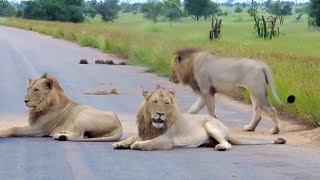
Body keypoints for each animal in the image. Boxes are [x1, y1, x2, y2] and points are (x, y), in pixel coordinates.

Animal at [112, 86, 284, 151]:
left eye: (167, 103)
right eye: (155, 102)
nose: (160, 114)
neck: (152, 124)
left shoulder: (165, 141)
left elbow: (145, 143)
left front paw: (136, 145)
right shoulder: (144, 132)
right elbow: (131, 138)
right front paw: (120, 143)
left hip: (210, 125)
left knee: (227, 144)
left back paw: (221, 146)